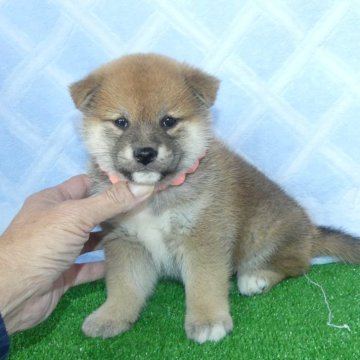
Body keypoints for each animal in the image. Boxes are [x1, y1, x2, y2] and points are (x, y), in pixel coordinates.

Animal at [69, 54, 360, 344]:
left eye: (168, 121)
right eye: (121, 122)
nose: (145, 153)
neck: (156, 195)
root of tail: (311, 232)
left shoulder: (202, 238)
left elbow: (204, 285)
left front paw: (208, 320)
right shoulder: (125, 241)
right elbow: (124, 286)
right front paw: (110, 316)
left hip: (262, 232)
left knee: (297, 264)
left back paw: (257, 277)